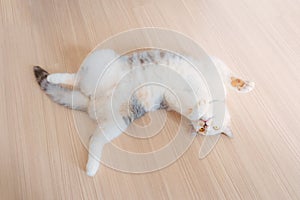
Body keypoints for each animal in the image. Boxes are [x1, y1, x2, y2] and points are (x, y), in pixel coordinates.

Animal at [32, 48, 254, 177]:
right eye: (211, 127)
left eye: (206, 131)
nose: (203, 125)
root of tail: (90, 99)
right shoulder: (212, 65)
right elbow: (228, 76)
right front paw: (244, 85)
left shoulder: (173, 100)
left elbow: (191, 108)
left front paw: (199, 108)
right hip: (104, 59)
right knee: (76, 77)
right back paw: (53, 77)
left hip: (117, 122)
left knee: (94, 140)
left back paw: (91, 168)